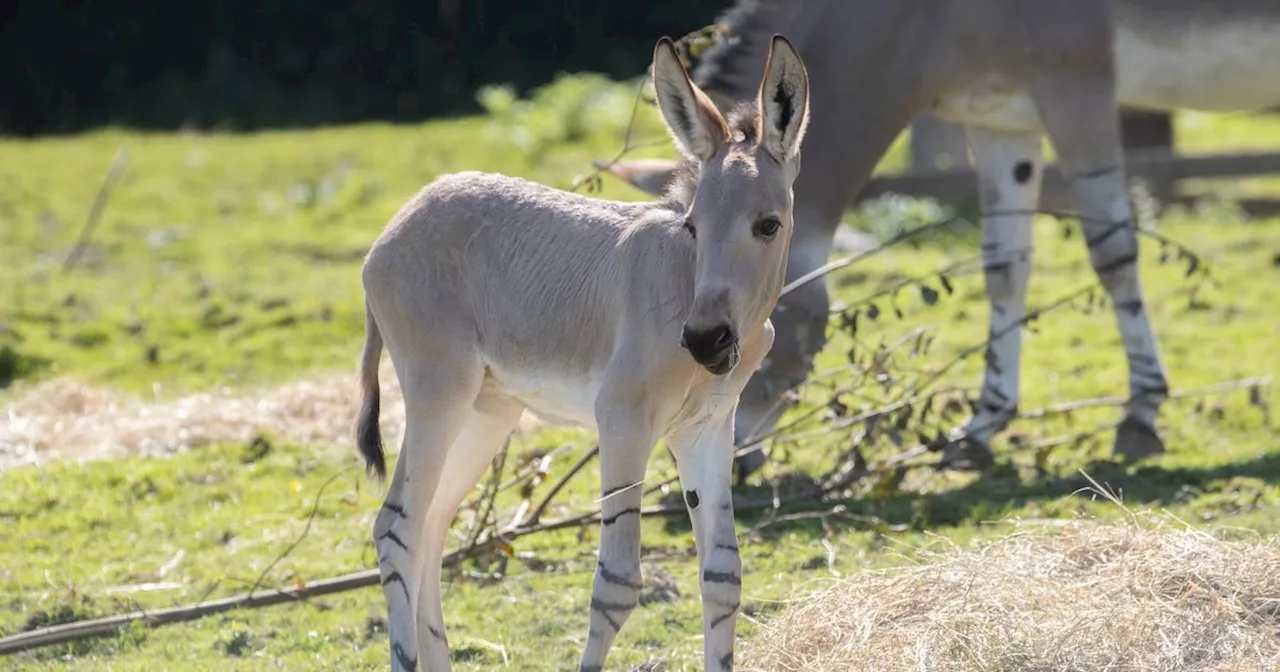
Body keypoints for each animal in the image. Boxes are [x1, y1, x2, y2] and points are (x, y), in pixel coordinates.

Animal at [350, 35, 808, 670]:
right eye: (692, 227)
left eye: (768, 225)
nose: (703, 340)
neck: (684, 283)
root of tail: (394, 227)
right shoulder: (622, 419)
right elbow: (616, 583)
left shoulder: (708, 429)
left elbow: (723, 576)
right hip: (436, 394)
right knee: (397, 529)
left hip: (488, 410)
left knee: (431, 523)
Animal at [604, 0, 1280, 473]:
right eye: (690, 232)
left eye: (766, 230)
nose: (727, 452)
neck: (924, 15)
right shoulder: (1000, 116)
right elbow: (1005, 263)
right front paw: (981, 428)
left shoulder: (1077, 86)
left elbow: (1112, 249)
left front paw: (1141, 414)